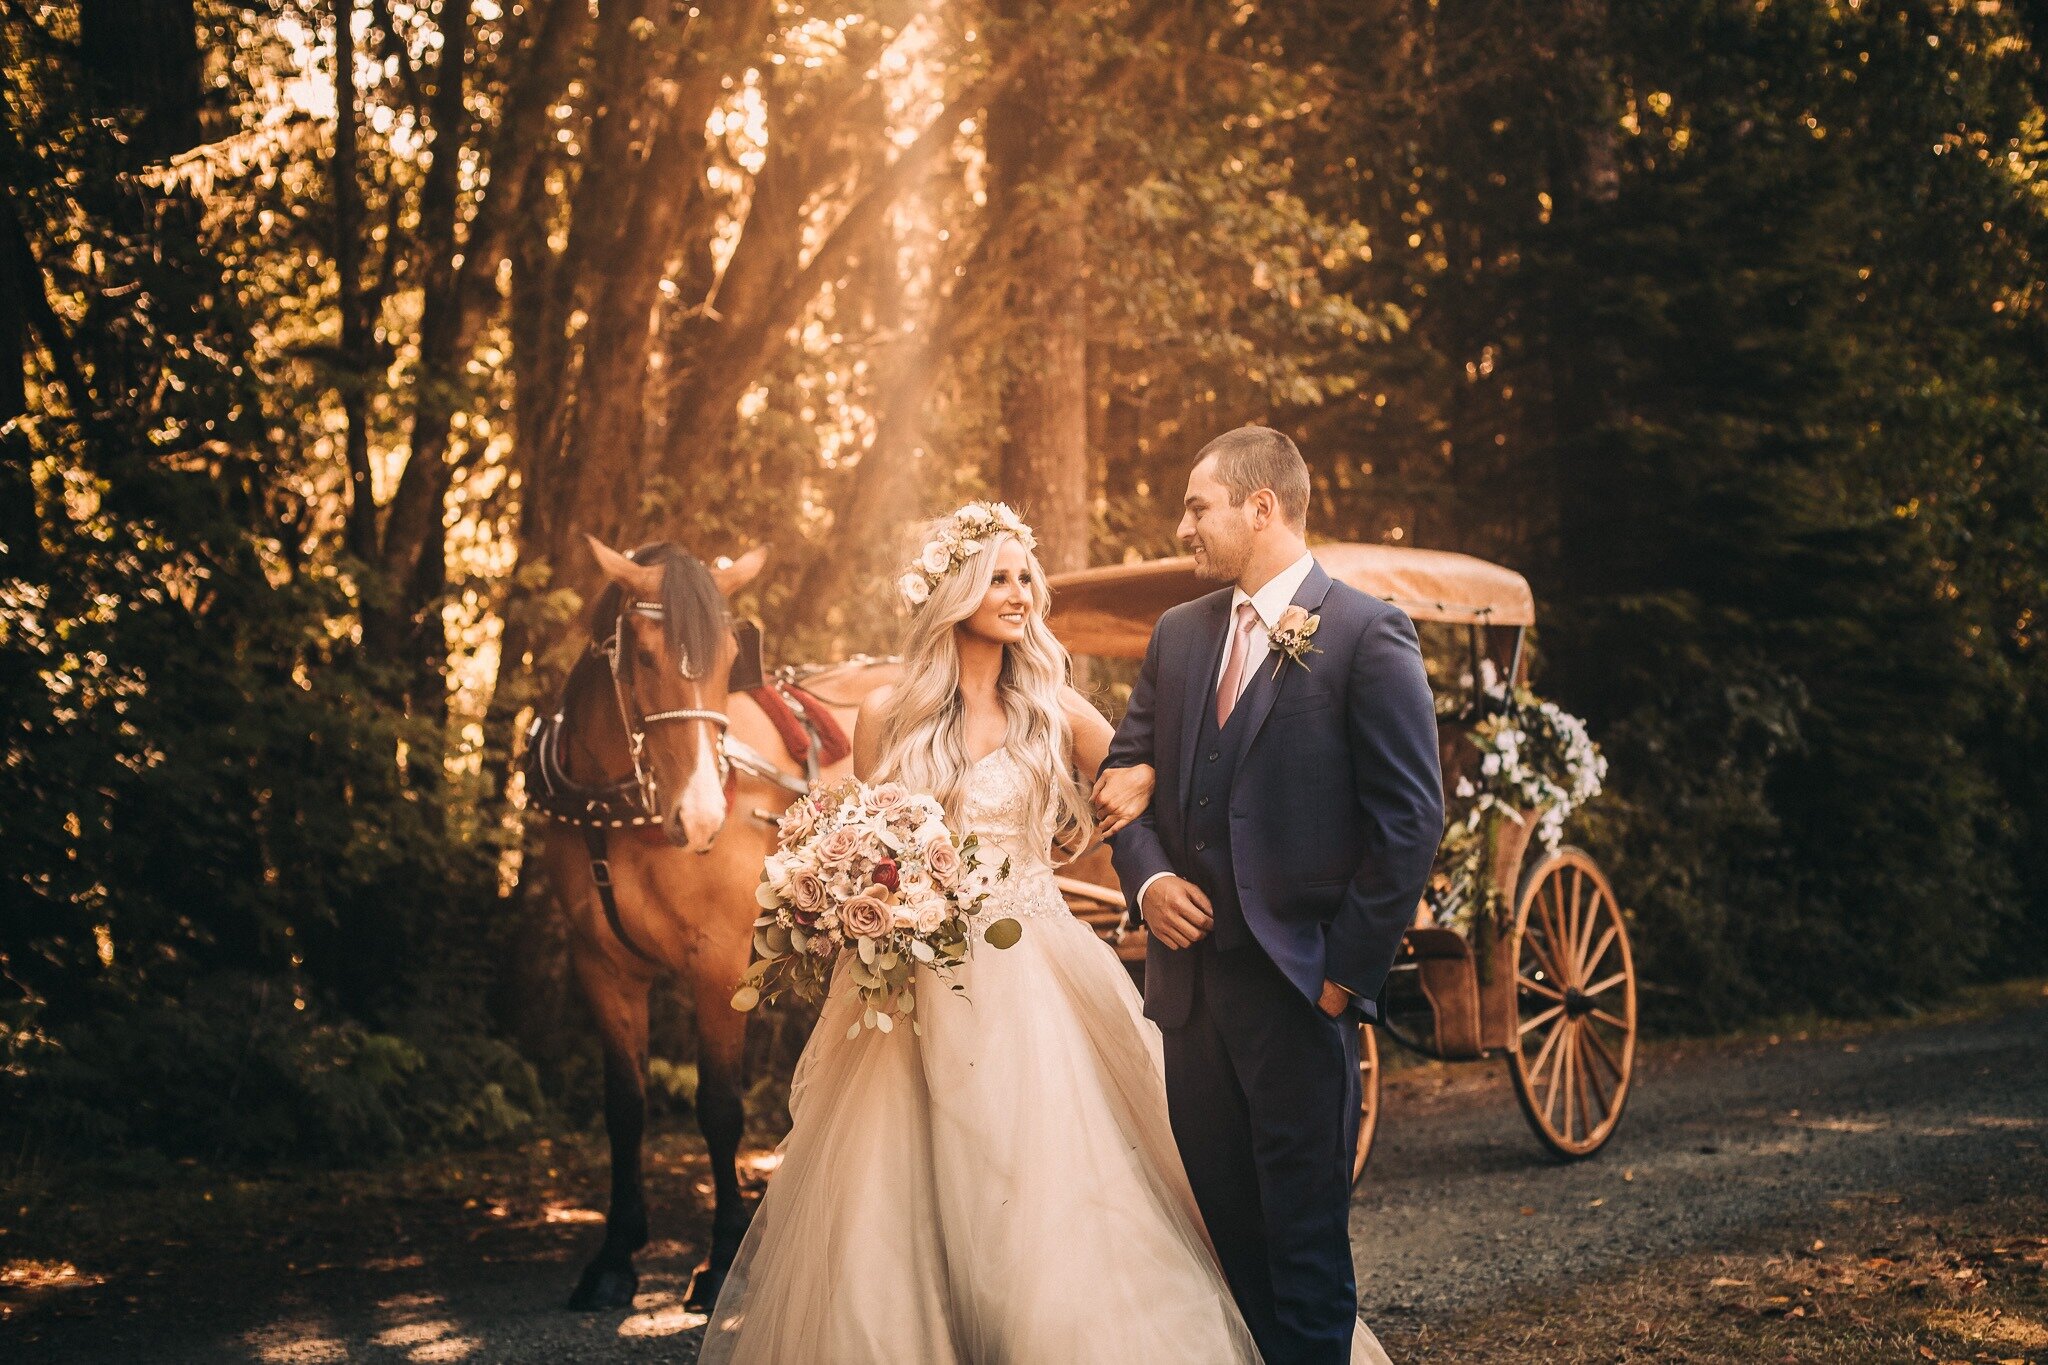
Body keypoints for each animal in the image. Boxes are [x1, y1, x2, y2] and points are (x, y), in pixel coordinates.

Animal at [524, 532, 892, 1309]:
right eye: (642, 657)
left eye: (728, 662)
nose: (699, 816)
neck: (623, 812)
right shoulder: (601, 964)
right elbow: (625, 1106)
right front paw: (614, 1255)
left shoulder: (721, 958)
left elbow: (719, 1105)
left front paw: (721, 1257)